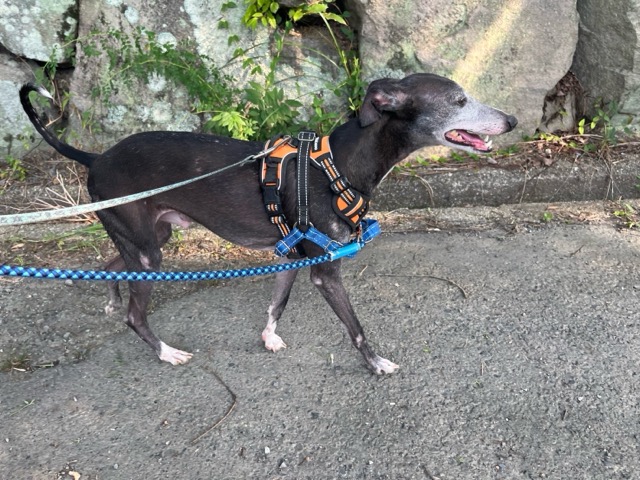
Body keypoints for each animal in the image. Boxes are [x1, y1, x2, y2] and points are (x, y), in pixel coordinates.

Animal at [21, 73, 517, 374]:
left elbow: (277, 303)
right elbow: (356, 328)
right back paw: (165, 351)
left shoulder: (290, 255)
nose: (512, 119)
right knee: (134, 314)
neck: (337, 165)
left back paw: (109, 296)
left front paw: (269, 338)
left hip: (150, 236)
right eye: (459, 100)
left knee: (110, 263)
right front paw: (376, 364)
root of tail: (95, 157)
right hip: (148, 252)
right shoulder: (325, 270)